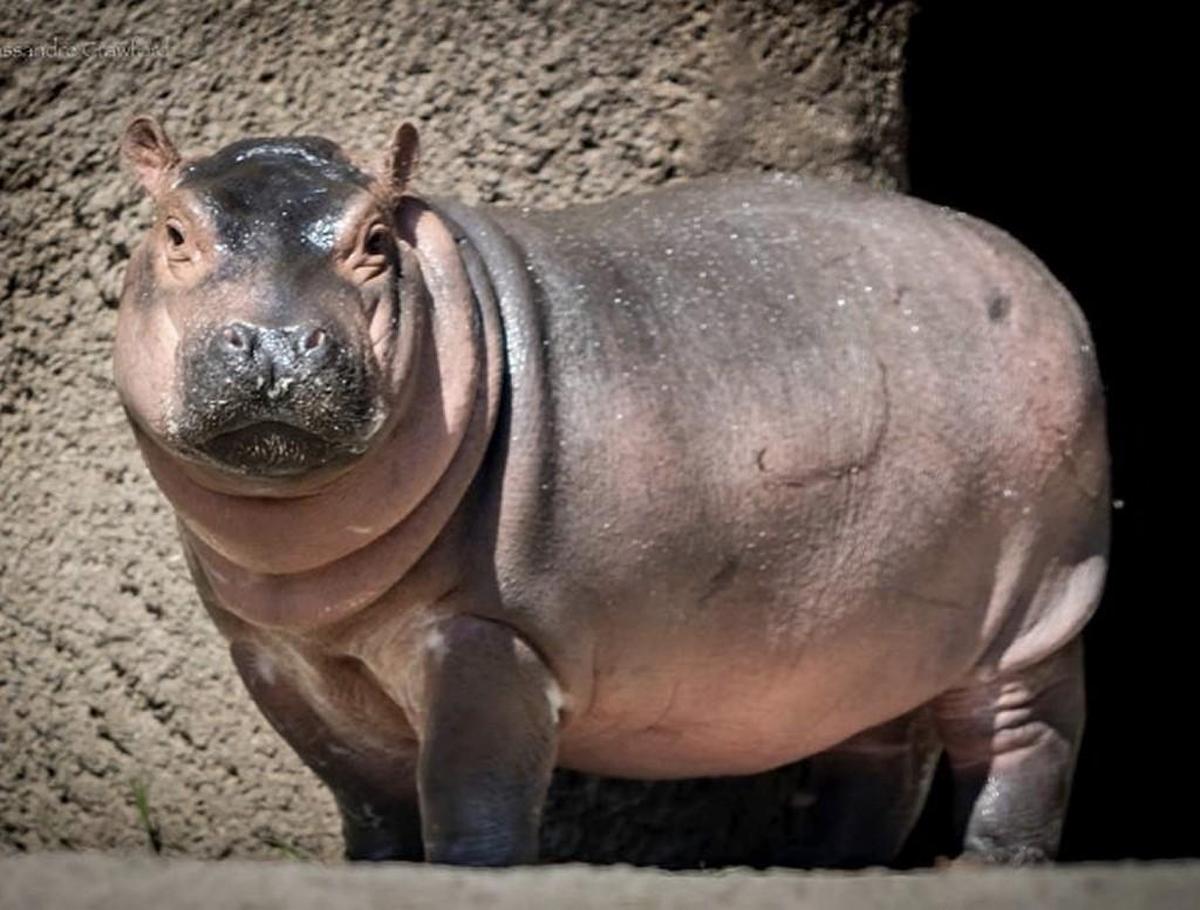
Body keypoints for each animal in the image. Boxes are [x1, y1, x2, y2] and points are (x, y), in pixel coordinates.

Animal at [114, 117, 1109, 867]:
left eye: (376, 239)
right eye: (173, 232)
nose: (279, 342)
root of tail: (1035, 271)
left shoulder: (488, 637)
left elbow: (472, 794)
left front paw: (468, 873)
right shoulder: (277, 660)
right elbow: (368, 805)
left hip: (1039, 605)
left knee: (1025, 743)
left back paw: (987, 865)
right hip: (875, 631)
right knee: (879, 758)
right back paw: (821, 869)